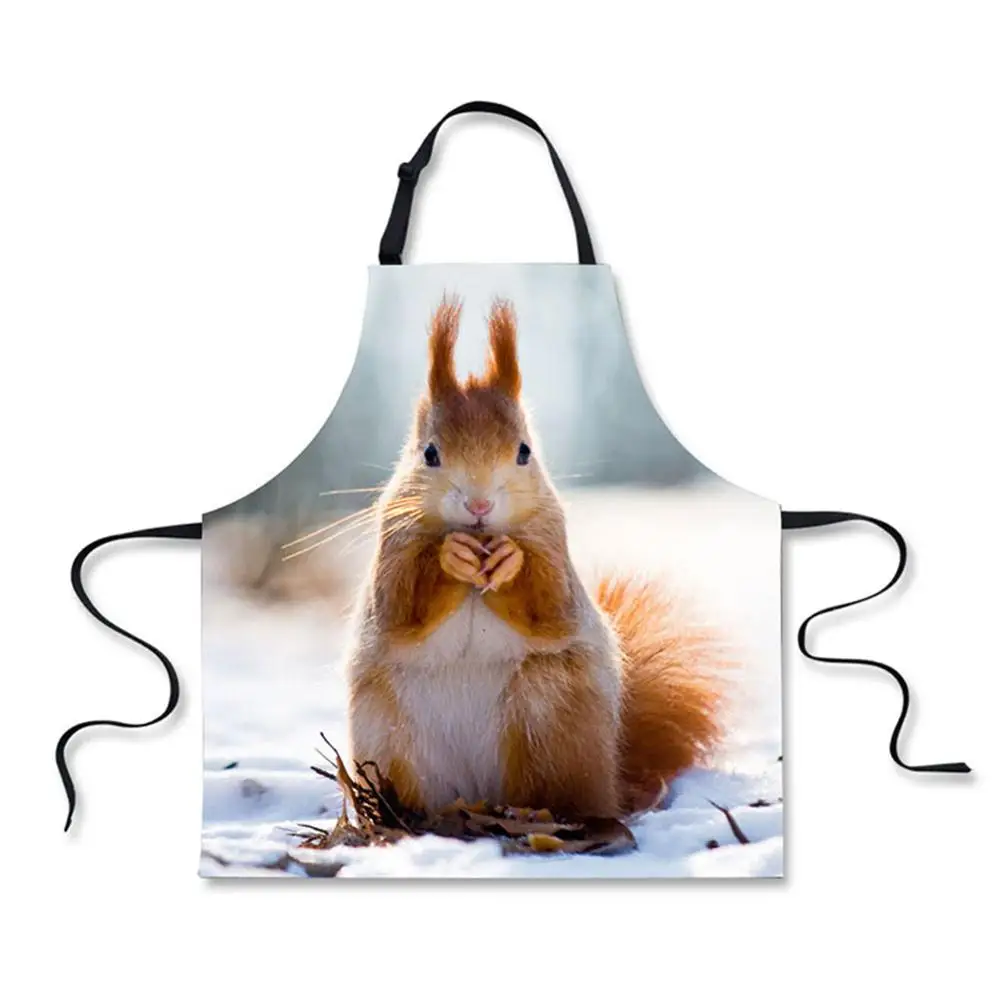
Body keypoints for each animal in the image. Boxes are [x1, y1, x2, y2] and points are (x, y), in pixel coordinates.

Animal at [345, 298, 724, 819]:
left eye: (524, 451)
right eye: (429, 454)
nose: (479, 505)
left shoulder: (553, 547)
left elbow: (549, 605)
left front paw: (511, 561)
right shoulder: (393, 548)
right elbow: (401, 606)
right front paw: (449, 556)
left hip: (548, 715)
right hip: (388, 736)